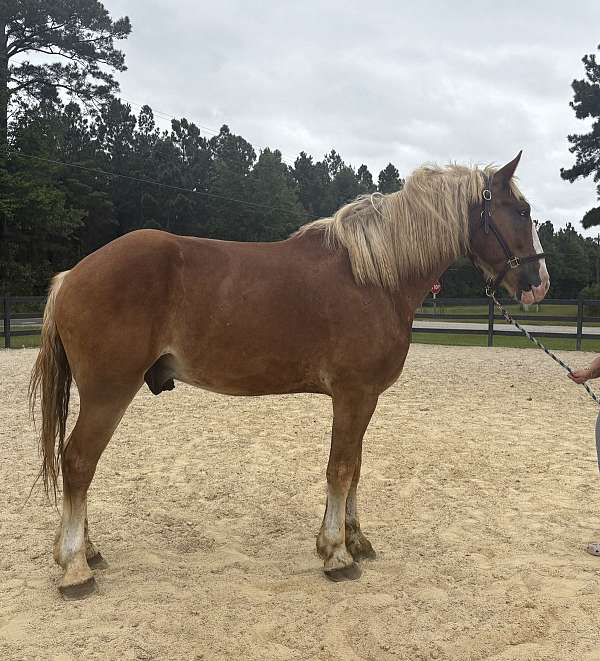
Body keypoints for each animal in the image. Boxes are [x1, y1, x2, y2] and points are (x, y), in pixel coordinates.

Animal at [30, 152, 549, 598]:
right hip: (108, 392)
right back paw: (75, 567)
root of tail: (72, 276)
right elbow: (340, 468)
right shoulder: (353, 394)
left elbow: (355, 467)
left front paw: (354, 540)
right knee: (78, 461)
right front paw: (336, 554)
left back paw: (87, 552)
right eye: (521, 211)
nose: (538, 284)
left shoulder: (364, 398)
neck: (374, 276)